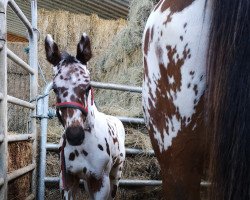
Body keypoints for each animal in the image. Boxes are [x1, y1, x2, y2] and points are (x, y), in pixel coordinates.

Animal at [44, 33, 125, 199]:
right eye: (55, 88)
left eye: (88, 86)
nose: (75, 135)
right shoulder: (68, 181)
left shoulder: (100, 182)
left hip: (116, 174)